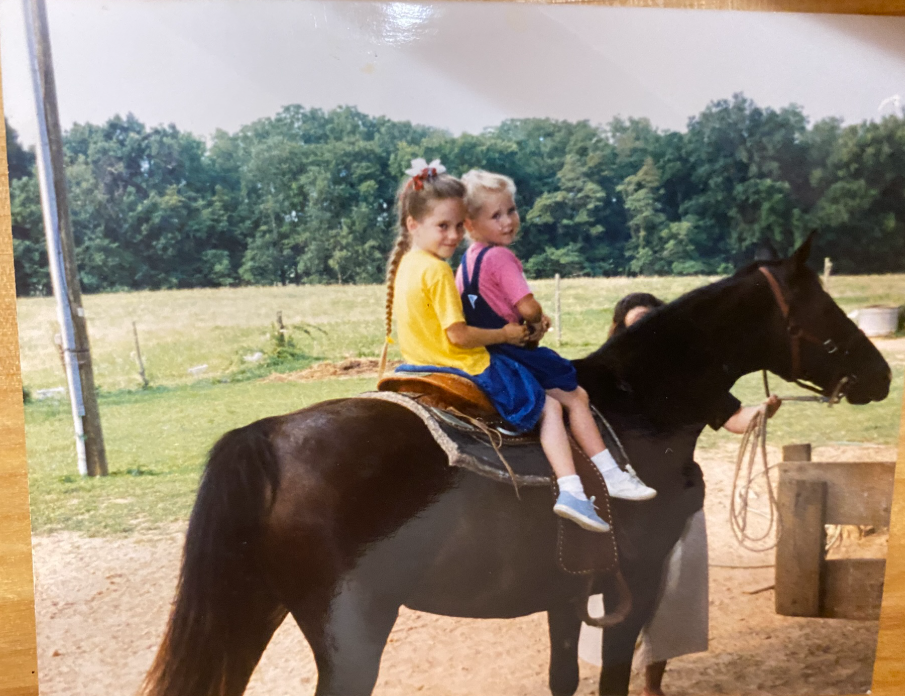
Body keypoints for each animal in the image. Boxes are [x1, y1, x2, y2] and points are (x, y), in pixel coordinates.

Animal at [141, 235, 891, 696]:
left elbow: (563, 676)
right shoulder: (635, 584)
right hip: (349, 631)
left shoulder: (568, 592)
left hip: (254, 611)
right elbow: (612, 676)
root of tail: (266, 436)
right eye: (824, 307)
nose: (881, 374)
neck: (638, 409)